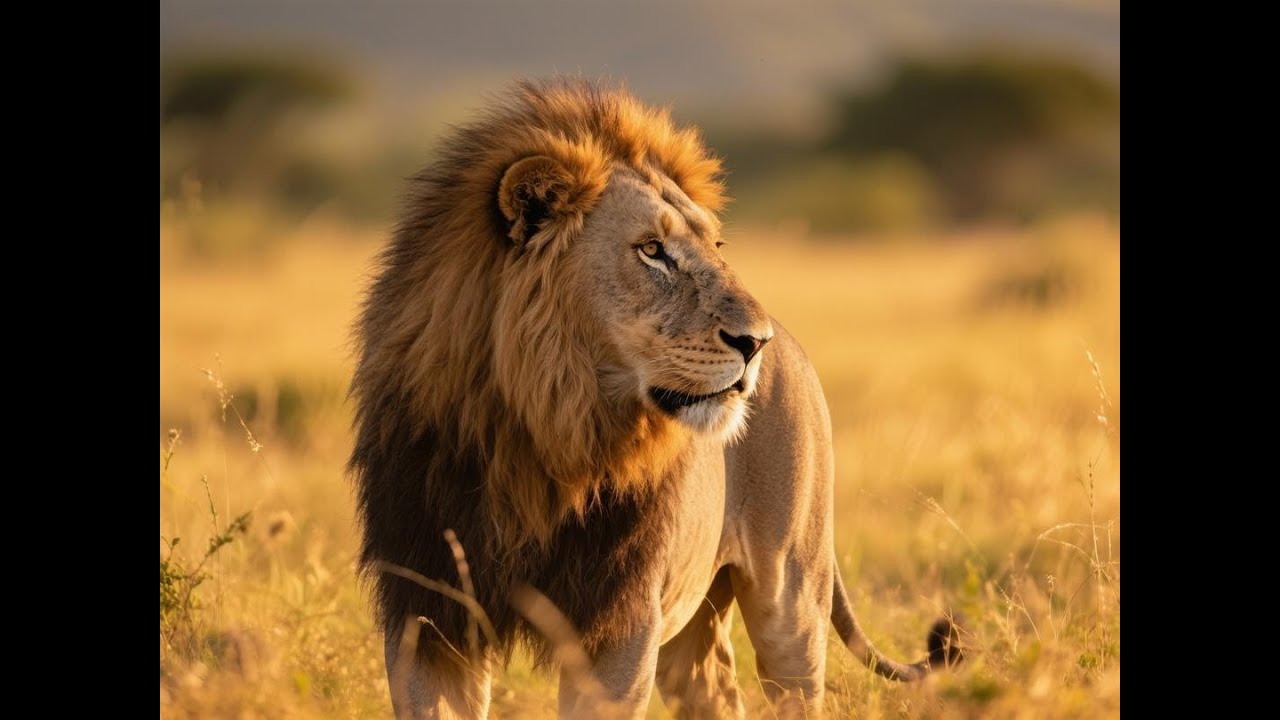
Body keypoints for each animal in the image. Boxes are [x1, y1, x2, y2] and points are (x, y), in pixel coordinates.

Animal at [350, 78, 960, 719]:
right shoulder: (428, 613)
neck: (538, 431)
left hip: (792, 595)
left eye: (716, 243)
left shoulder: (621, 621)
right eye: (650, 249)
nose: (756, 342)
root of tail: (793, 343)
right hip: (693, 619)